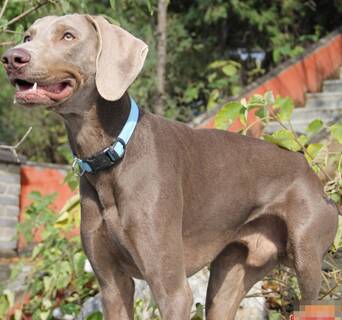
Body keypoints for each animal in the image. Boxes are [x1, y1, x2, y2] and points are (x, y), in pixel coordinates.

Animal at [2, 13, 340, 318]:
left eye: (68, 36)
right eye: (28, 36)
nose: (11, 57)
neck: (112, 154)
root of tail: (310, 171)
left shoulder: (172, 290)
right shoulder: (112, 286)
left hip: (307, 260)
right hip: (229, 274)